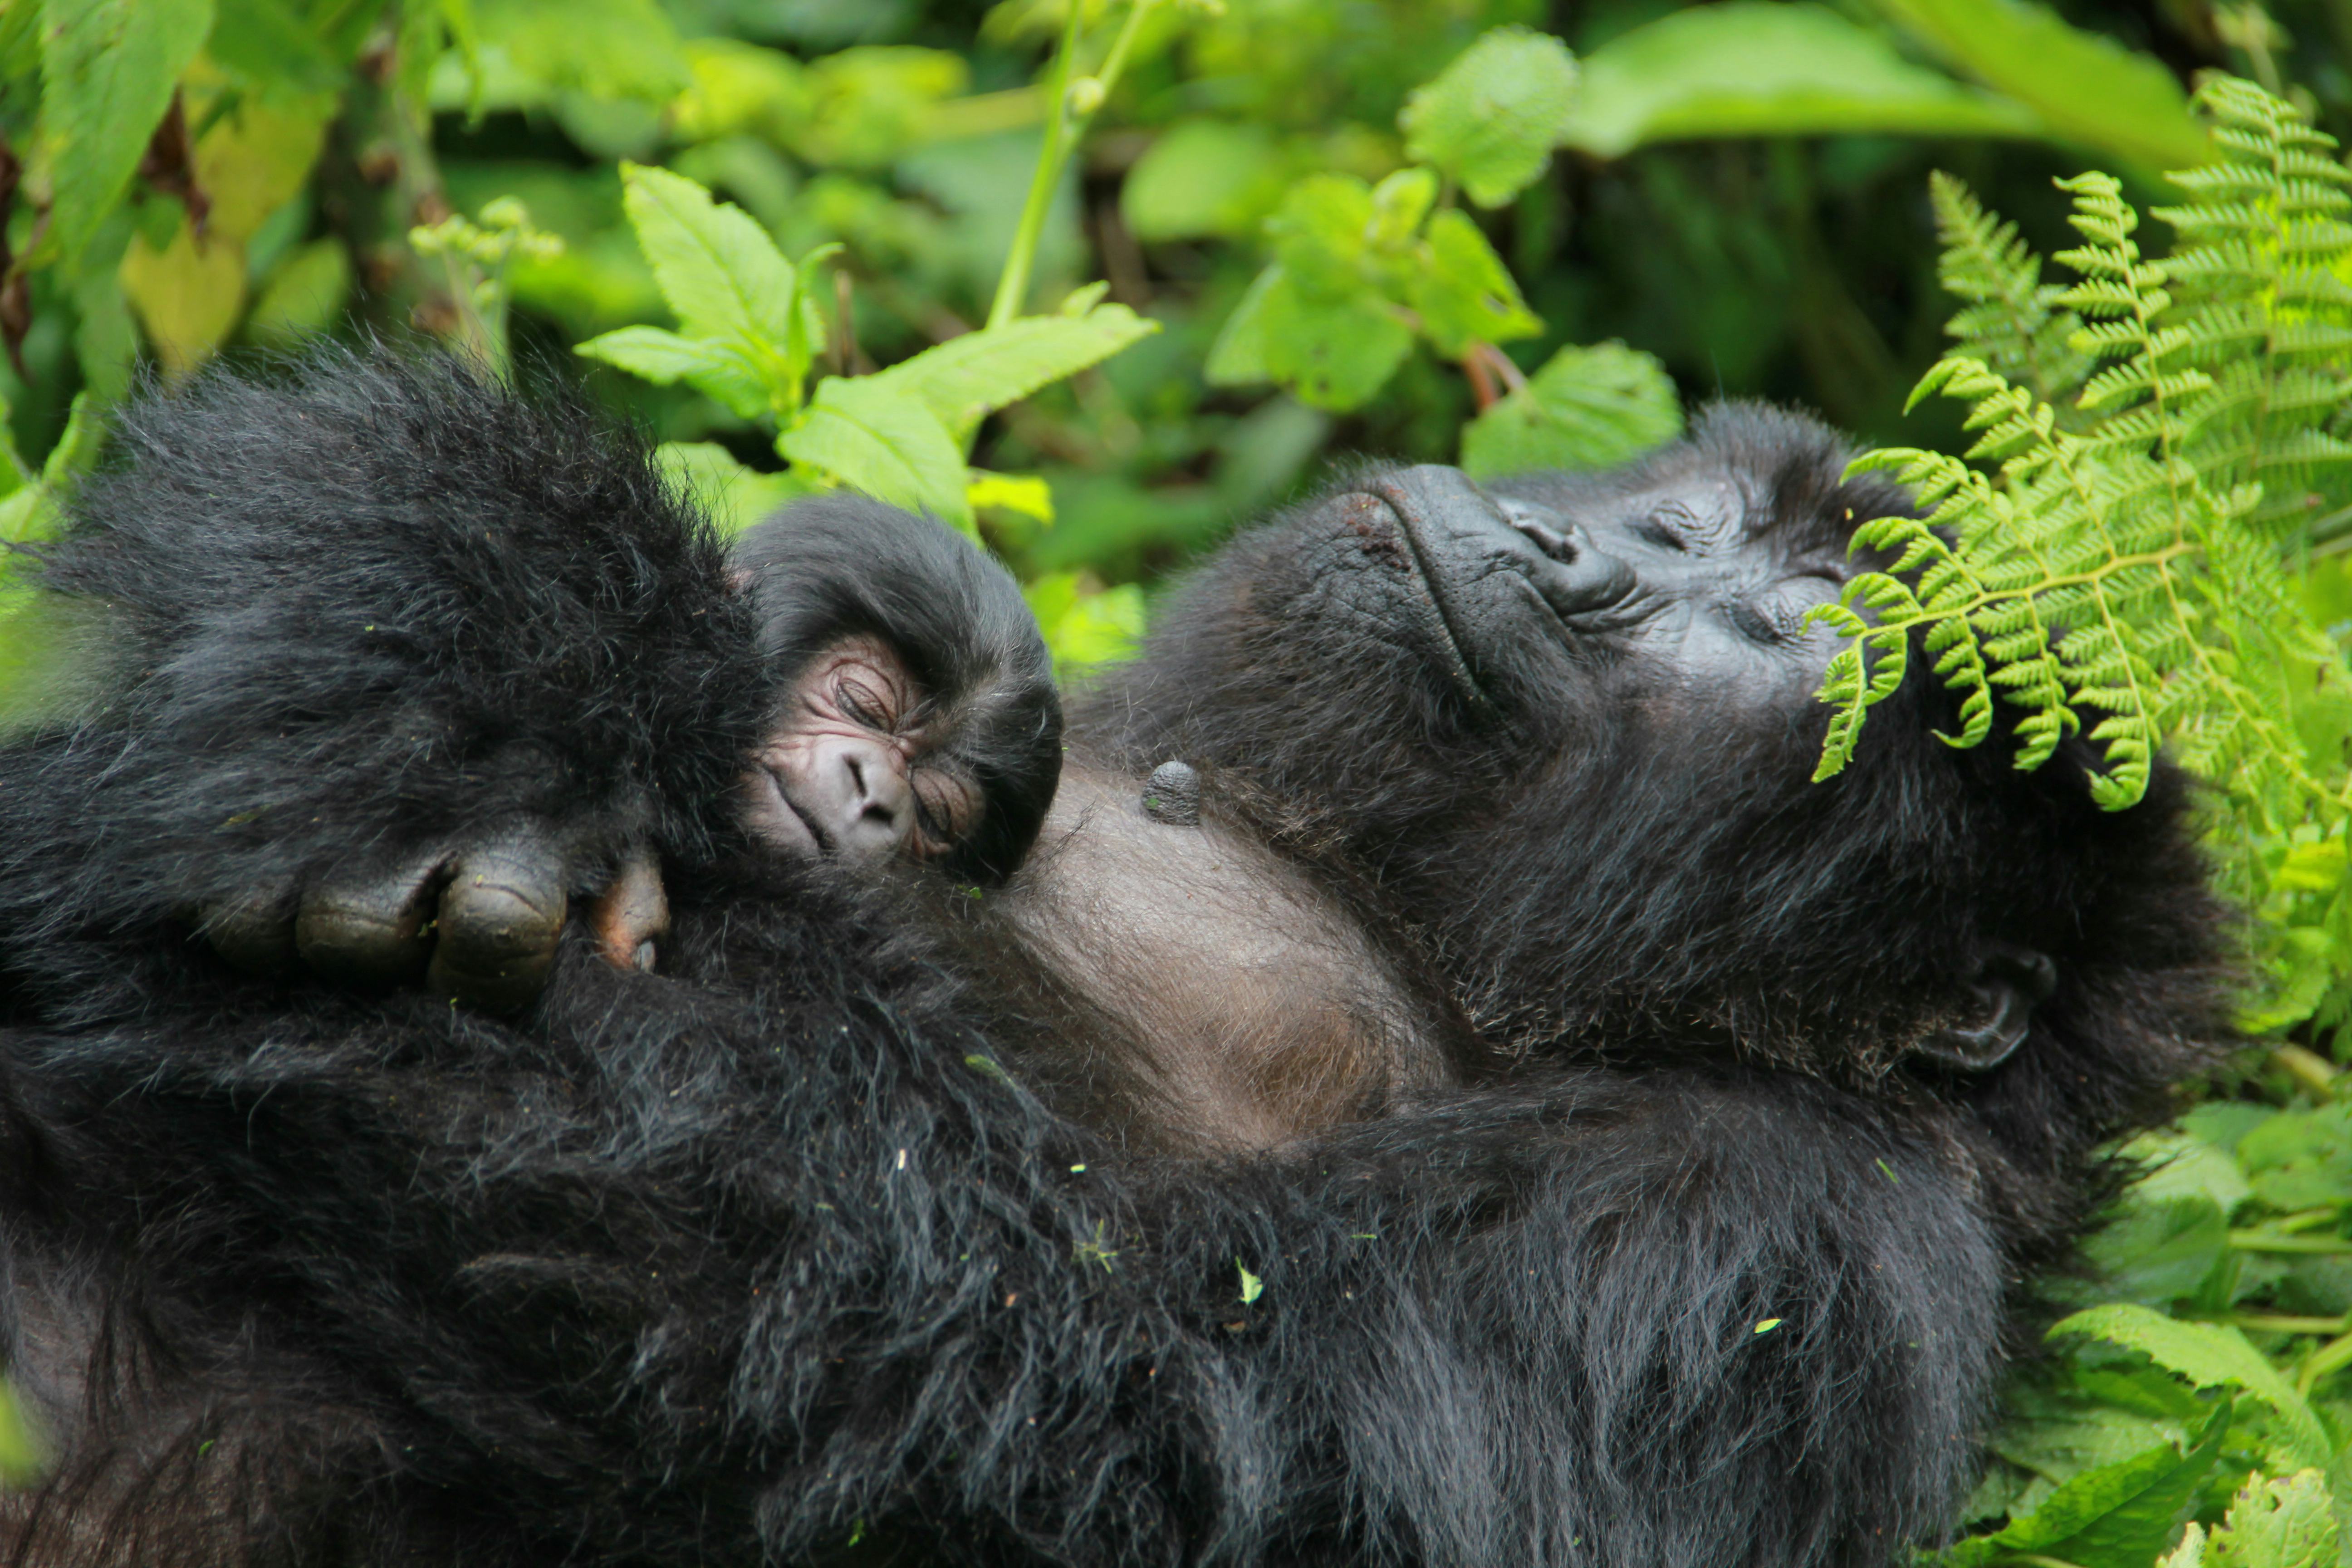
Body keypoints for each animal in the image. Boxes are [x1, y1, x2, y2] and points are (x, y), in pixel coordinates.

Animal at [0, 359, 2220, 1568]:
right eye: (1696, 515)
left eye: (1791, 645)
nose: (1565, 554)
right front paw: (456, 610)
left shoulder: (1765, 1240)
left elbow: (1060, 1382)